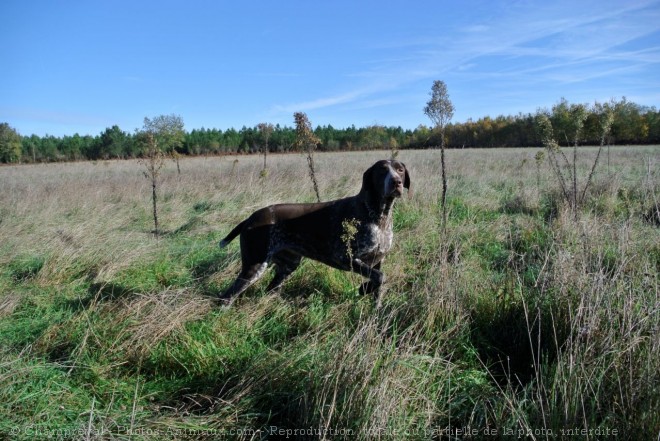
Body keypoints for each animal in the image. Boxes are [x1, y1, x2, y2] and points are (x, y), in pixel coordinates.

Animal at [219, 159, 410, 306]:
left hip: (289, 265)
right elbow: (380, 277)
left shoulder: (377, 260)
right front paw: (363, 290)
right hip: (255, 266)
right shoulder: (344, 258)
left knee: (271, 288)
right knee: (227, 297)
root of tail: (250, 218)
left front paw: (374, 308)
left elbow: (378, 284)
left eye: (400, 170)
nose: (396, 182)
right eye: (382, 170)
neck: (378, 215)